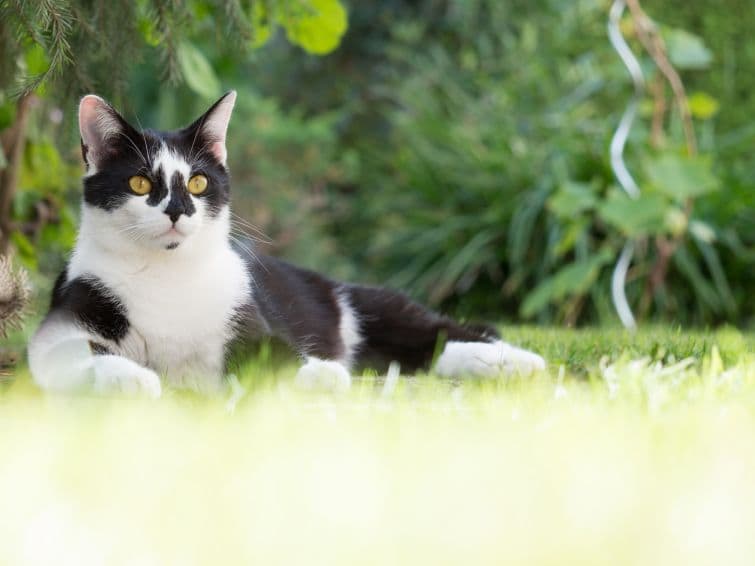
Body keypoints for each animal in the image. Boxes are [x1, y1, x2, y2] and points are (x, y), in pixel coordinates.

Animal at [29, 91, 548, 398]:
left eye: (197, 182)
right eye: (139, 182)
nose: (177, 209)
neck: (169, 275)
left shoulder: (250, 320)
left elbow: (274, 351)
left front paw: (319, 374)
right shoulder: (64, 319)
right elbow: (75, 354)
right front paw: (131, 378)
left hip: (370, 306)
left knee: (440, 332)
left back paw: (514, 360)